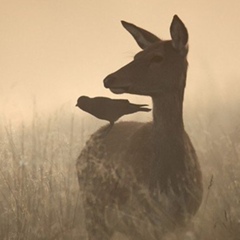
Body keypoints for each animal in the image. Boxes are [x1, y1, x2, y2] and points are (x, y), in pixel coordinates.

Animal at [76, 15, 202, 240]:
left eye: (158, 57)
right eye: (136, 55)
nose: (109, 78)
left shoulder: (184, 220)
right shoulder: (142, 222)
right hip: (93, 212)